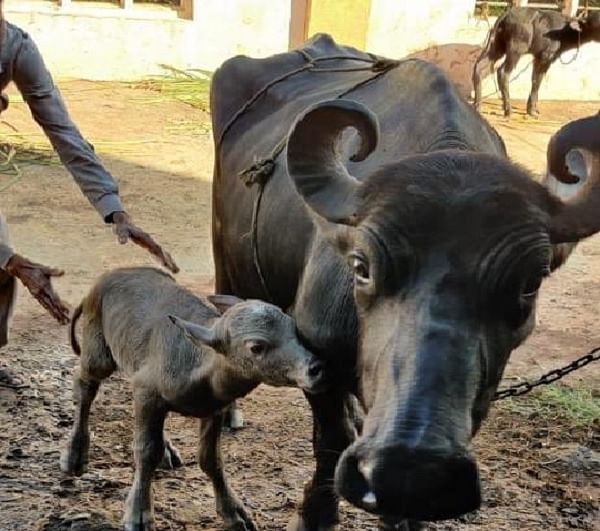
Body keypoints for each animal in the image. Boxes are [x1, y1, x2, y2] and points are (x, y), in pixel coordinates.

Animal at [61, 270, 324, 531]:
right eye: (256, 346)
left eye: (294, 329)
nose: (315, 368)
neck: (198, 366)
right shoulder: (146, 391)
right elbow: (145, 451)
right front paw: (138, 514)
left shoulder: (213, 409)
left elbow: (210, 458)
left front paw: (234, 513)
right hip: (98, 353)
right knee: (84, 385)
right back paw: (74, 456)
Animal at [209, 35, 596, 528]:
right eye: (361, 267)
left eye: (529, 284)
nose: (410, 468)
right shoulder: (316, 350)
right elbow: (330, 441)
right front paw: (316, 512)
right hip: (224, 253)